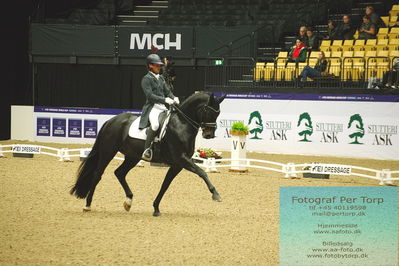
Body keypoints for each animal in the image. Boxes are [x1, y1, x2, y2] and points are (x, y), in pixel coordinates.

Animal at [69, 91, 225, 216]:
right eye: (208, 111)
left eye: (218, 113)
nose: (209, 135)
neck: (182, 124)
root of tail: (111, 120)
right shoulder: (182, 159)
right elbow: (202, 172)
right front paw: (216, 194)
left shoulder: (177, 165)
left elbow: (165, 185)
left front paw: (156, 208)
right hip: (108, 151)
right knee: (97, 174)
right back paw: (88, 205)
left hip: (132, 157)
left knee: (119, 173)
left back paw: (128, 202)